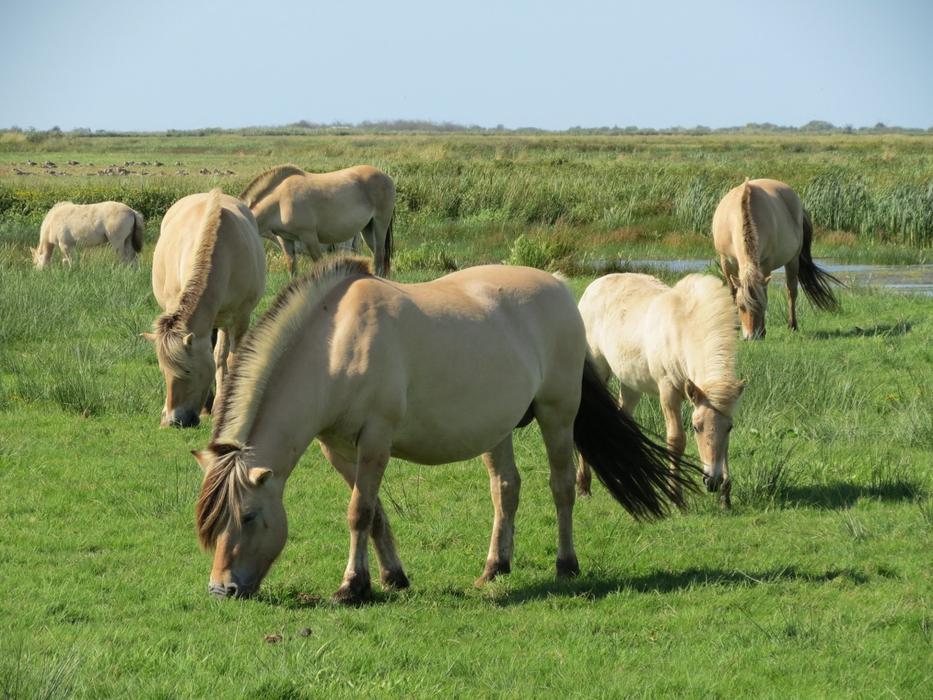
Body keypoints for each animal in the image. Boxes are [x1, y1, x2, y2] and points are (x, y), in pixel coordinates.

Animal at [142, 190, 265, 428]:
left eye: (187, 370)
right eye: (163, 371)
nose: (173, 421)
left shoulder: (240, 317)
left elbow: (229, 358)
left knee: (220, 354)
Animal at [193, 257, 696, 604]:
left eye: (248, 517)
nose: (221, 590)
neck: (336, 345)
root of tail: (557, 285)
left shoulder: (375, 440)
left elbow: (359, 512)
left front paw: (353, 587)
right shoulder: (337, 448)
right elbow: (375, 513)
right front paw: (392, 577)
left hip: (558, 413)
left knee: (561, 487)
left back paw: (565, 565)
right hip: (498, 427)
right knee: (506, 488)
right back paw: (496, 566)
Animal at [240, 164, 395, 278]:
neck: (280, 200)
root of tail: (386, 176)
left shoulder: (309, 237)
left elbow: (320, 264)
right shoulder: (286, 240)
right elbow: (292, 269)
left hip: (380, 223)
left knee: (379, 256)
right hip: (367, 229)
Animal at [576, 273, 746, 508]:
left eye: (729, 427)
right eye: (696, 427)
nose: (712, 481)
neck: (684, 329)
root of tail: (593, 286)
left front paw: (725, 498)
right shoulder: (668, 391)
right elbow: (676, 440)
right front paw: (676, 497)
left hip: (630, 384)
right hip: (598, 372)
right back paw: (583, 486)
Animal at [713, 178, 841, 339]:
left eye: (762, 305)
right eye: (741, 306)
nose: (751, 337)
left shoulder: (765, 264)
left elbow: (766, 291)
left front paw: (763, 331)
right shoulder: (726, 262)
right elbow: (732, 293)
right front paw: (734, 328)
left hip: (793, 260)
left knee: (791, 290)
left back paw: (792, 325)